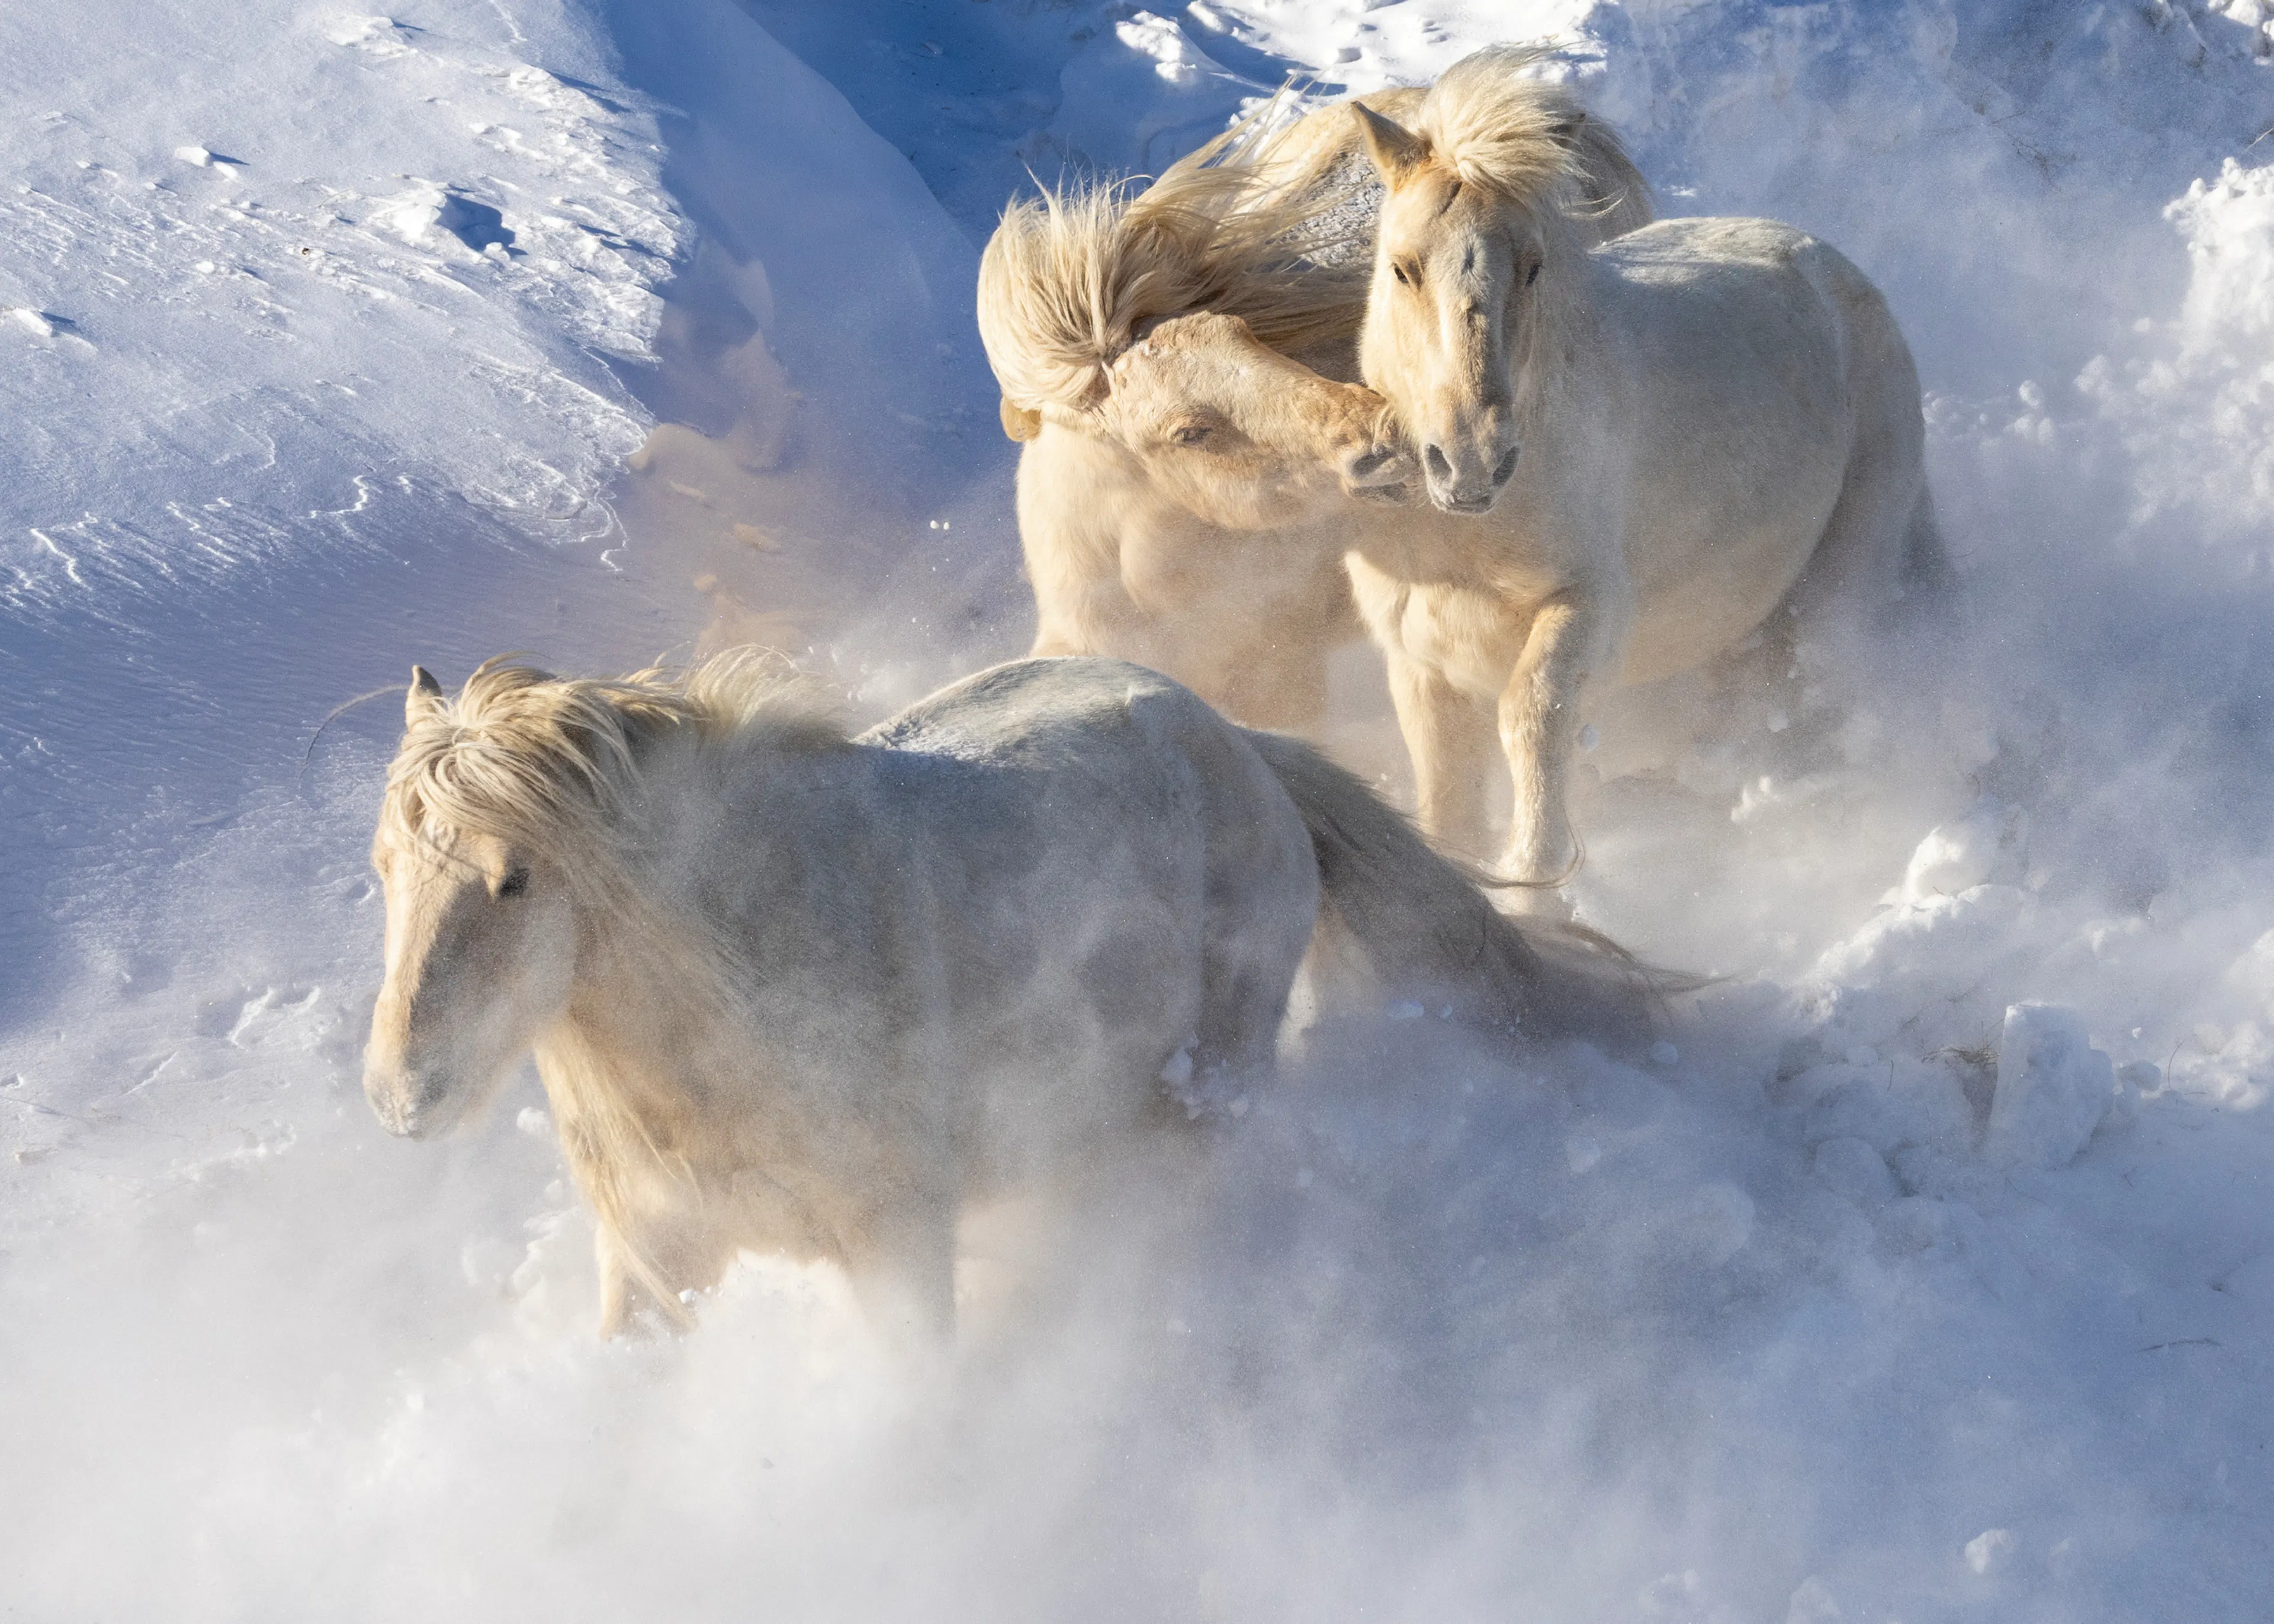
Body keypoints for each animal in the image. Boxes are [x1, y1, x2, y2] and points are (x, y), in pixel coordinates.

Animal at [362, 652, 1656, 1339]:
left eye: (513, 878)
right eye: (382, 871)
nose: (400, 1094)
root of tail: (1241, 744)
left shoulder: (897, 1250)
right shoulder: (653, 1267)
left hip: (1212, 1086)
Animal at [1345, 46, 1952, 899]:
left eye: (1532, 267)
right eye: (1402, 269)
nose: (1473, 461)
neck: (1472, 535)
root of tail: (1839, 272)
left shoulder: (1588, 611)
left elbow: (1534, 716)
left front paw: (1535, 878)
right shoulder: (1421, 659)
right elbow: (1448, 804)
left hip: (1841, 585)